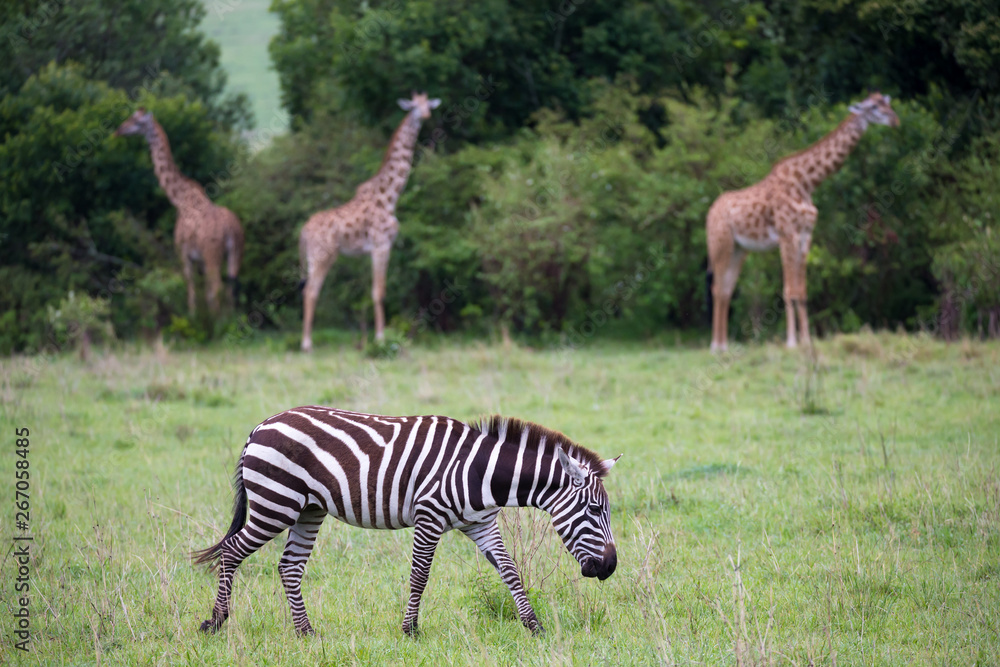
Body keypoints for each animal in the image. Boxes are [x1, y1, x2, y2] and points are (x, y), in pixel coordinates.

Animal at [193, 406, 620, 636]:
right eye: (594, 511)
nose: (610, 568)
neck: (480, 472)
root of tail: (261, 425)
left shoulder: (481, 524)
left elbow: (511, 571)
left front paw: (534, 626)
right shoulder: (428, 516)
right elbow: (420, 575)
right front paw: (410, 629)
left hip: (308, 509)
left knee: (289, 567)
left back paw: (306, 632)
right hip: (275, 503)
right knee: (231, 551)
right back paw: (215, 622)